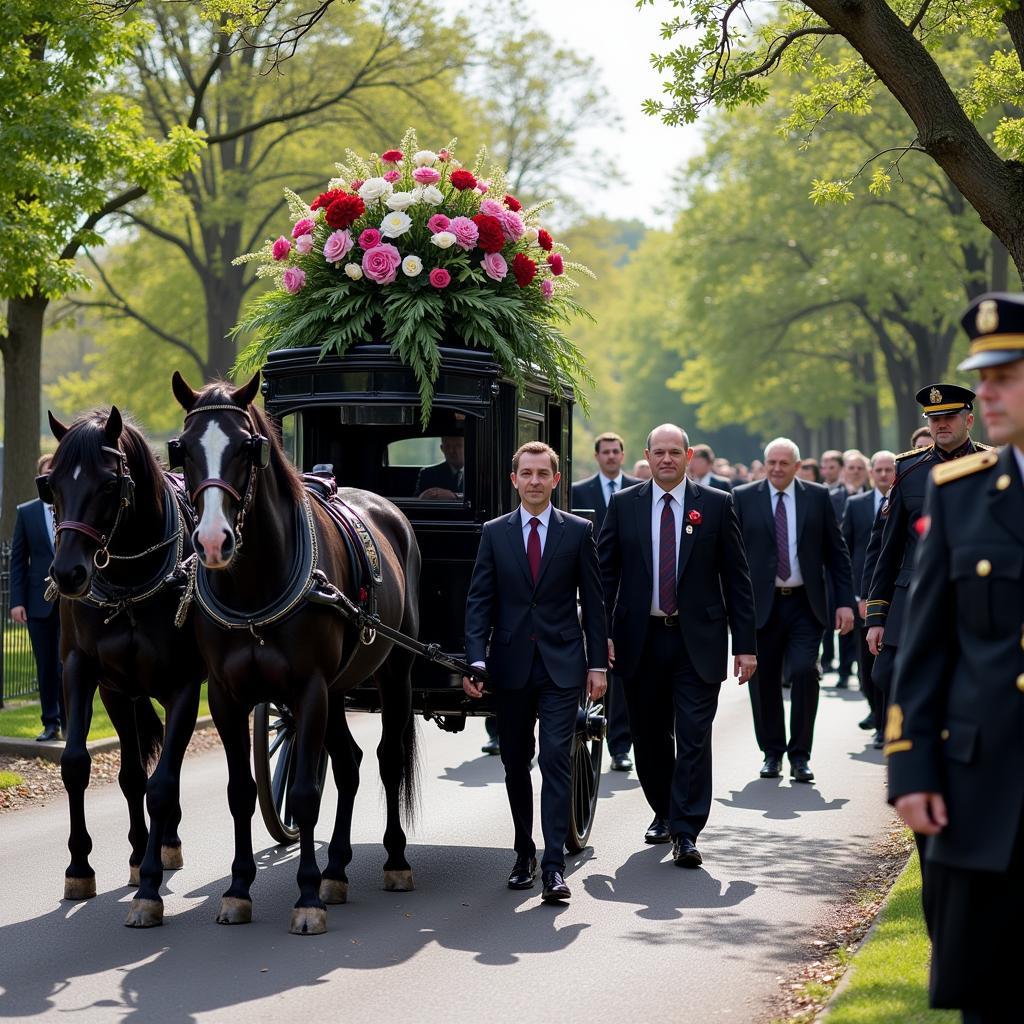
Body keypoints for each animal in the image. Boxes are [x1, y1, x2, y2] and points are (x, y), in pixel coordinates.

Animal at [43, 405, 205, 929]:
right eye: (50, 484)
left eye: (110, 484)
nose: (68, 573)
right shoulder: (84, 671)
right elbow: (80, 765)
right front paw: (80, 866)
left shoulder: (184, 685)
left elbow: (163, 784)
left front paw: (150, 887)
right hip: (121, 693)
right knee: (134, 773)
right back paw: (142, 850)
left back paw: (165, 844)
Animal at [169, 374, 417, 937]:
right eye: (183, 449)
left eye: (247, 448)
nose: (212, 541)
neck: (254, 587)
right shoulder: (227, 697)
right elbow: (241, 791)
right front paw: (238, 890)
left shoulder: (308, 690)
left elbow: (304, 793)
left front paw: (305, 896)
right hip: (340, 689)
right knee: (348, 764)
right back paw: (338, 869)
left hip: (394, 671)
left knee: (388, 760)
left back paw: (393, 860)